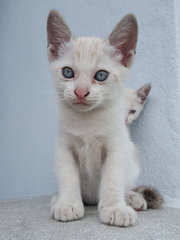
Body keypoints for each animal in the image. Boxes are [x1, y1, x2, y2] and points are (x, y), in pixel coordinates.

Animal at [47, 9, 162, 227]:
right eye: (68, 72)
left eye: (101, 75)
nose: (80, 92)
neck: (87, 122)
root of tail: (92, 199)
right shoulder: (63, 147)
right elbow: (67, 176)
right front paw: (67, 204)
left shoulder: (116, 147)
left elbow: (113, 179)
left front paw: (114, 208)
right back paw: (57, 199)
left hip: (131, 159)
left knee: (125, 184)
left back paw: (132, 198)